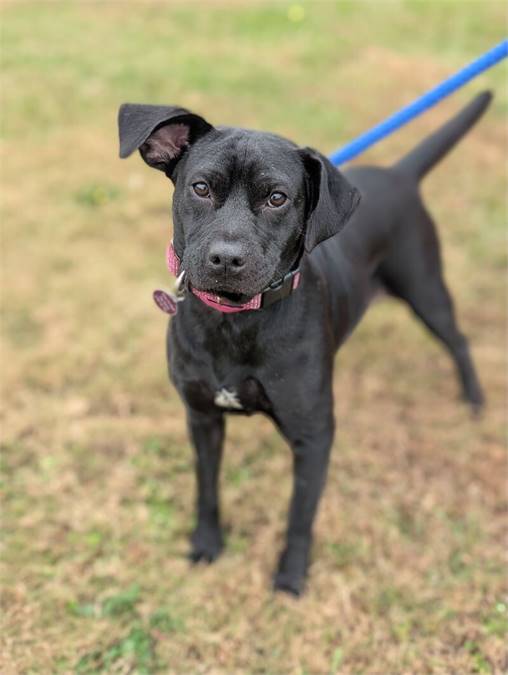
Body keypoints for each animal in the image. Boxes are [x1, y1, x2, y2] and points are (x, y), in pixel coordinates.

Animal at [117, 91, 490, 596]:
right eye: (200, 187)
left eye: (277, 198)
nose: (225, 259)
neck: (236, 321)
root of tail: (397, 173)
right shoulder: (202, 417)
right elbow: (207, 489)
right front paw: (206, 545)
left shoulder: (313, 436)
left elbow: (300, 514)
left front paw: (291, 576)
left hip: (426, 290)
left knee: (459, 341)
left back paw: (474, 399)